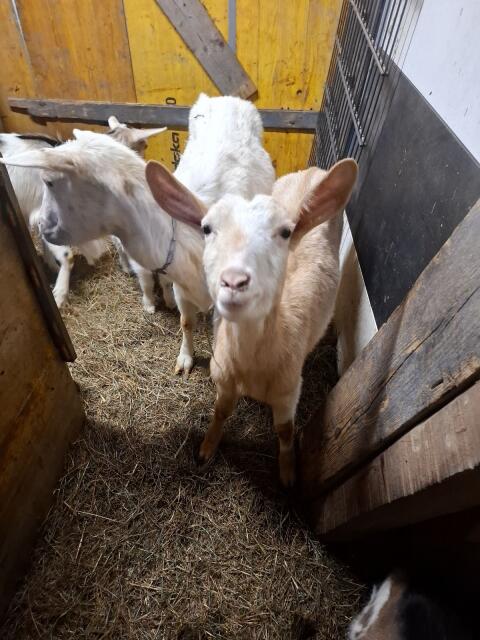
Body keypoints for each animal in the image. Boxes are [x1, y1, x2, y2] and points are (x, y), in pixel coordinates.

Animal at [143, 160, 357, 485]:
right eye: (206, 228)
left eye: (285, 232)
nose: (234, 281)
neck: (251, 365)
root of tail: (314, 169)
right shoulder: (224, 379)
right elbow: (220, 412)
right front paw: (205, 450)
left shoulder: (288, 391)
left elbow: (285, 431)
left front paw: (288, 473)